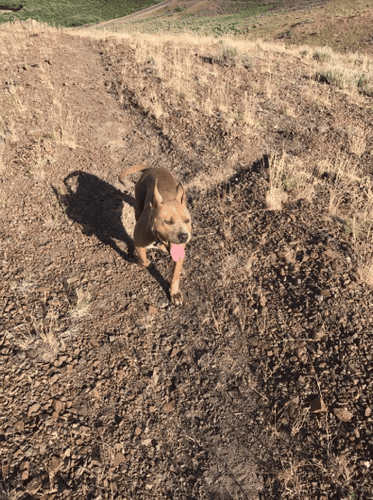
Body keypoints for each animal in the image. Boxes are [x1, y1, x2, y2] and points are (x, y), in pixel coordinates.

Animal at [118, 165, 192, 304]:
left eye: (187, 220)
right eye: (168, 222)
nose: (184, 236)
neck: (157, 239)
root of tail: (152, 167)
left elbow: (175, 274)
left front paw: (174, 292)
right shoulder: (138, 243)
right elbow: (144, 260)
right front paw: (144, 263)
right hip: (138, 204)